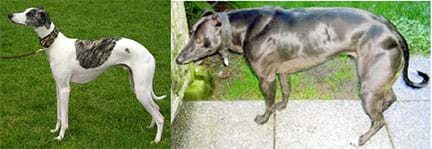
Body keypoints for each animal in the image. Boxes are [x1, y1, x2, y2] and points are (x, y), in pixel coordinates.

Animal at [8, 7, 167, 143]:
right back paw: (151, 127)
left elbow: (64, 117)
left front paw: (61, 137)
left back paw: (156, 140)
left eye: (30, 14)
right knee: (156, 108)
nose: (9, 15)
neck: (55, 45)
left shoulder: (65, 89)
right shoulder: (58, 87)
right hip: (138, 86)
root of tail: (150, 54)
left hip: (141, 90)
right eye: (26, 10)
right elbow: (59, 115)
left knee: (160, 117)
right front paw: (55, 130)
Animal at [176, 7, 428, 146]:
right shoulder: (282, 71)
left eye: (198, 39)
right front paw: (282, 106)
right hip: (378, 77)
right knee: (389, 98)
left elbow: (267, 102)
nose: (178, 59)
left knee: (379, 119)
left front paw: (265, 118)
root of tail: (391, 28)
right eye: (191, 33)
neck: (244, 28)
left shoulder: (265, 78)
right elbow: (286, 91)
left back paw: (363, 138)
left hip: (368, 85)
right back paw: (381, 111)